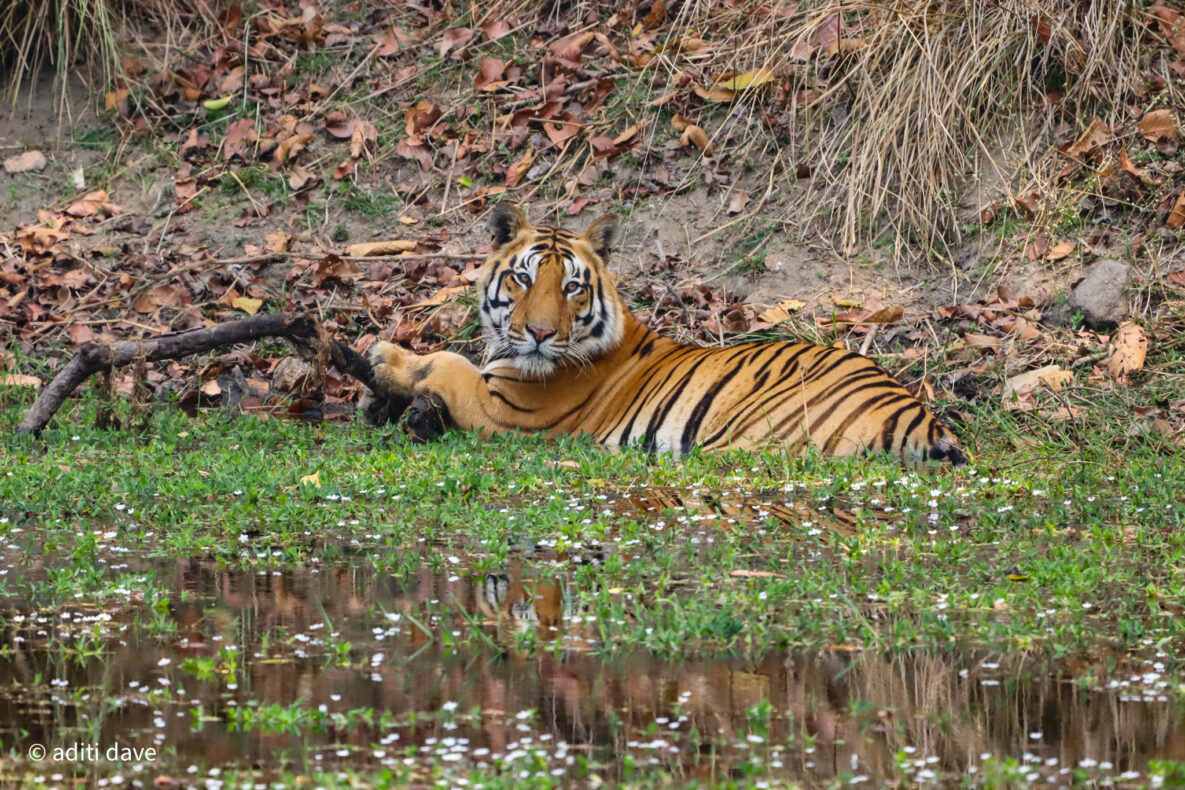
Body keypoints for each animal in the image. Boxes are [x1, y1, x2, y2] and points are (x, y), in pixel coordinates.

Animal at [364, 203, 966, 466]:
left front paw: (385, 358)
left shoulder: (505, 411)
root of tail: (922, 416)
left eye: (572, 287)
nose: (537, 332)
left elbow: (446, 362)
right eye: (524, 278)